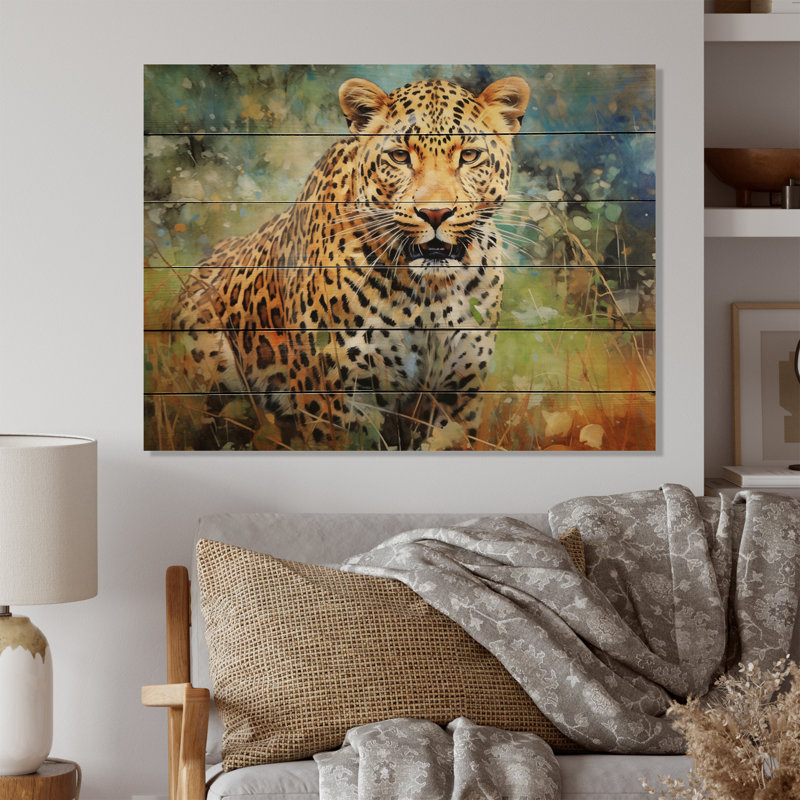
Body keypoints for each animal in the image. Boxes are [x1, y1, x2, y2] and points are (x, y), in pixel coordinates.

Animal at [172, 75, 530, 449]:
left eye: (469, 155)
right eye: (400, 156)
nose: (435, 213)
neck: (429, 293)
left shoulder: (457, 395)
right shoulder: (333, 401)